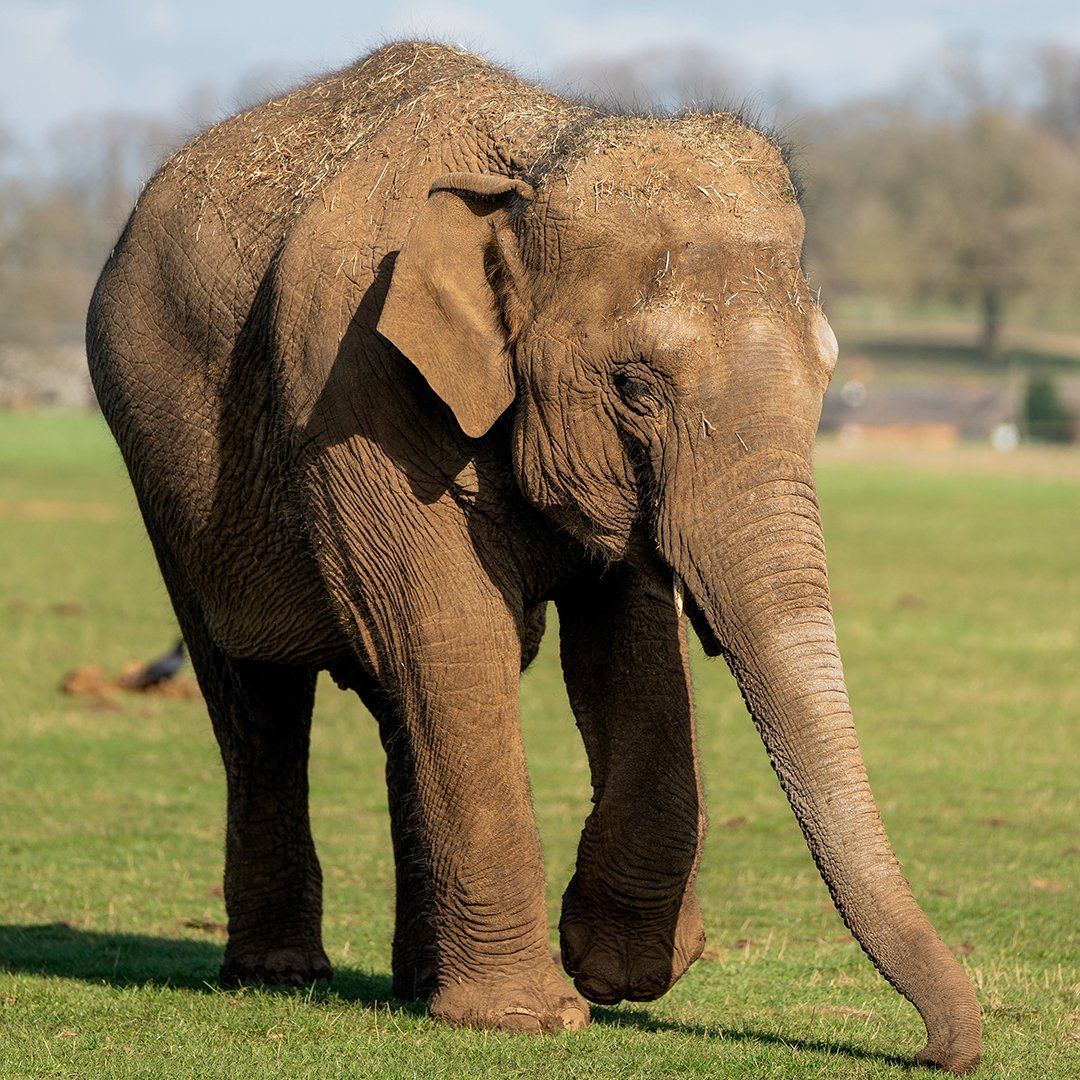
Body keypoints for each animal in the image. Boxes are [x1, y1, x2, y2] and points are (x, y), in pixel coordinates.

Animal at [85, 41, 981, 1073]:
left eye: (830, 375)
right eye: (635, 387)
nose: (934, 1051)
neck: (537, 155)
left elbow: (630, 645)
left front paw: (618, 969)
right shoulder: (347, 377)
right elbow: (452, 633)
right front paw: (535, 1017)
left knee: (396, 704)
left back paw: (415, 987)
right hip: (164, 471)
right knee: (260, 693)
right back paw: (281, 976)